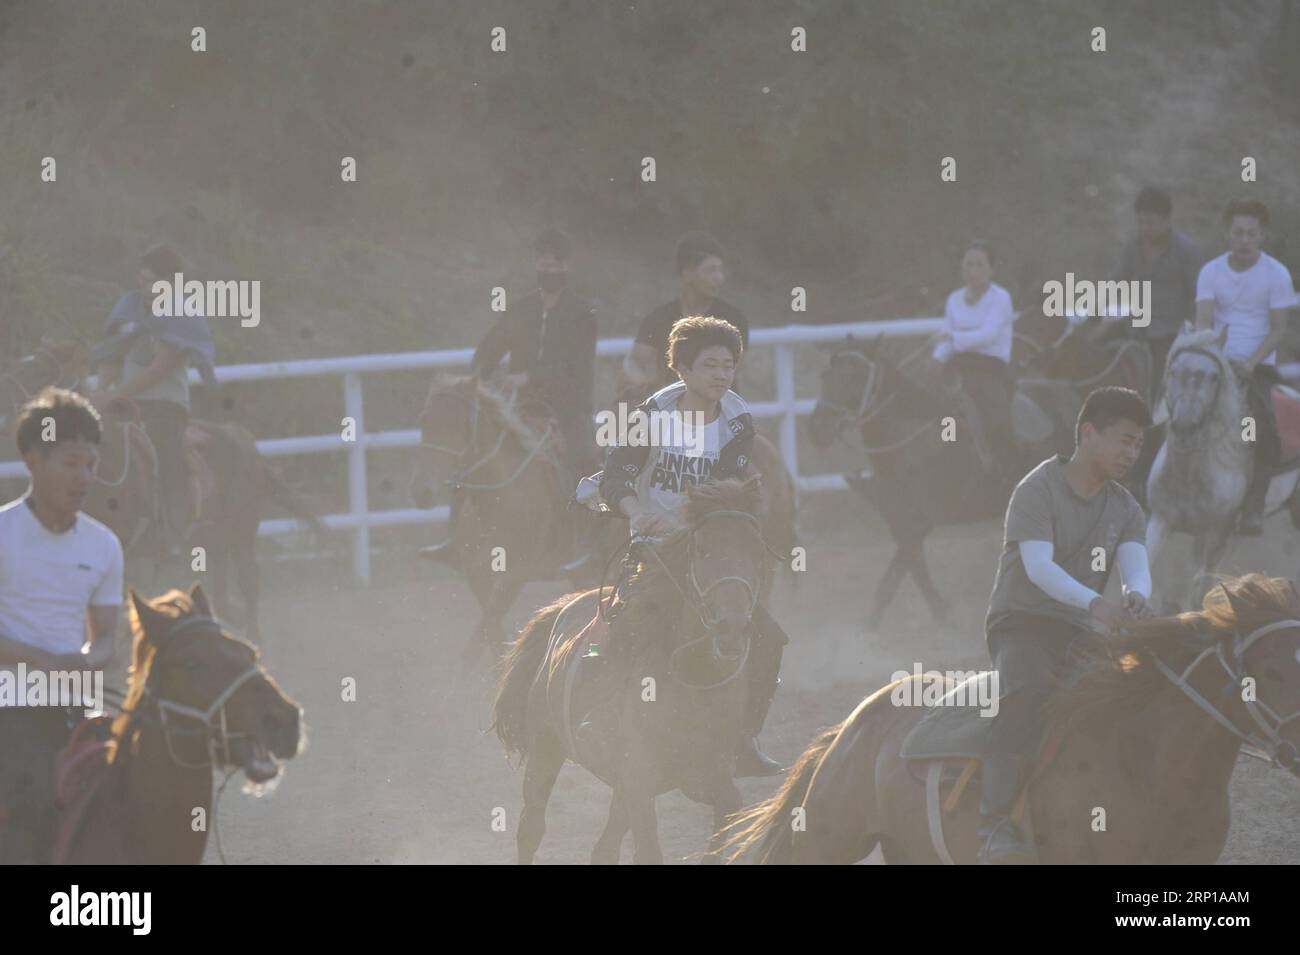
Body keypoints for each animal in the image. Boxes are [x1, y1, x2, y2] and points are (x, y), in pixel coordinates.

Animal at [410, 374, 579, 657]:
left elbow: (479, 639)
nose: (421, 492)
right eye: (423, 420)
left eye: (459, 424)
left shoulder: (515, 576)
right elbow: (491, 634)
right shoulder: (478, 576)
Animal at [488, 480, 769, 862]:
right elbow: (648, 850)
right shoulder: (639, 779)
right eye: (703, 551)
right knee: (531, 828)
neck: (694, 682)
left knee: (603, 848)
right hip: (546, 750)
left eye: (758, 553)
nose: (731, 629)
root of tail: (562, 609)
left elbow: (727, 815)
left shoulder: (705, 776)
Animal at [1149, 328, 1300, 608]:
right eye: (1173, 371)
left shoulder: (1216, 534)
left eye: (1214, 377)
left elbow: (1200, 588)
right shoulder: (1160, 520)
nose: (1185, 427)